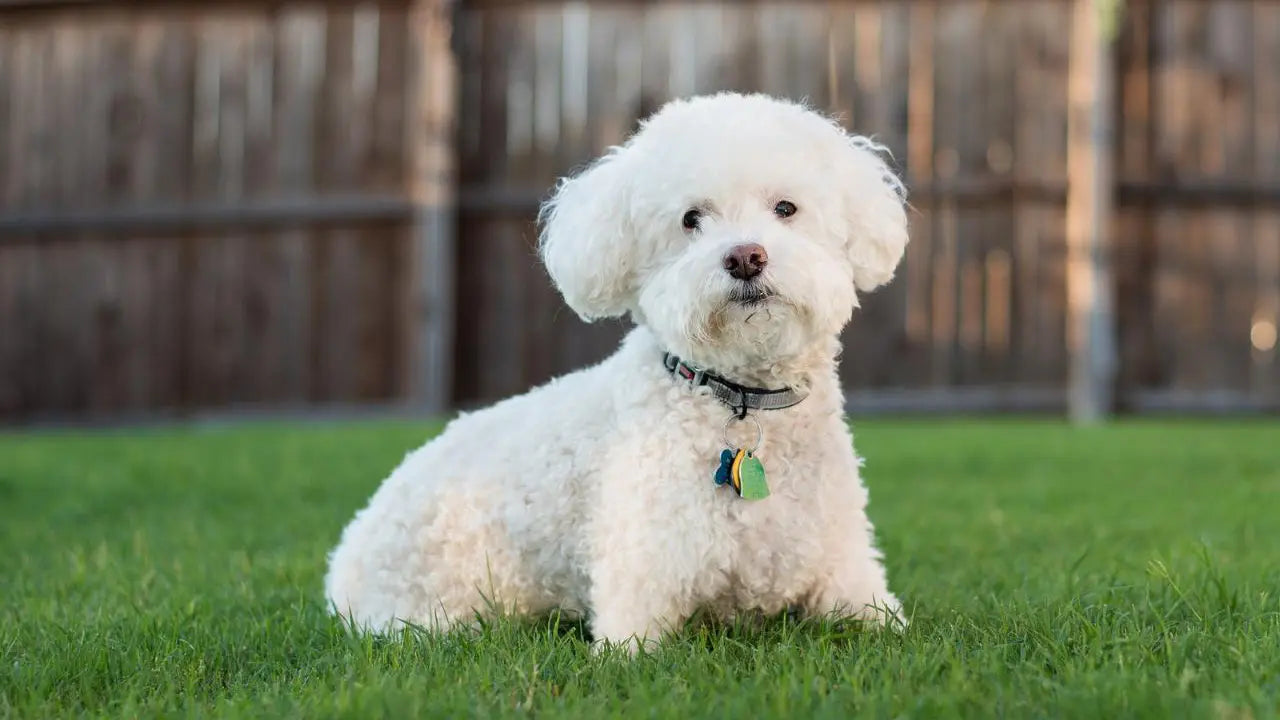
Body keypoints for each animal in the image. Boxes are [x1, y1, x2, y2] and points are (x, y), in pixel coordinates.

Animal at [327, 92, 911, 648]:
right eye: (691, 219)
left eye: (786, 208)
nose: (746, 257)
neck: (742, 398)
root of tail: (342, 564)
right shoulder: (640, 581)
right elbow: (629, 650)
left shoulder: (847, 572)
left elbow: (887, 625)